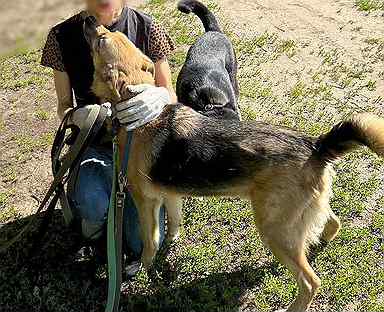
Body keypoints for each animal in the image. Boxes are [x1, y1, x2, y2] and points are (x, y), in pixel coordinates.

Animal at [84, 13, 384, 310]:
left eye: (102, 40)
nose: (88, 18)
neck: (142, 113)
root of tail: (315, 145)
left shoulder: (145, 201)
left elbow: (150, 242)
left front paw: (142, 272)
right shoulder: (170, 193)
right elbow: (173, 225)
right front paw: (166, 251)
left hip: (275, 230)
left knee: (311, 282)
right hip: (299, 216)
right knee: (332, 222)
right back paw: (319, 242)